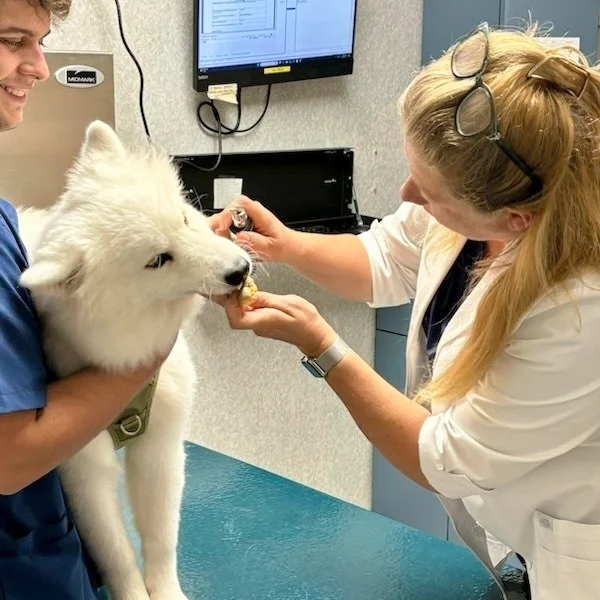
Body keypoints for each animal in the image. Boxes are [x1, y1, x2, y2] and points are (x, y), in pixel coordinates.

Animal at [16, 122, 251, 600]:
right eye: (158, 259)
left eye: (185, 220)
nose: (240, 271)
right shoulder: (82, 468)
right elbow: (116, 551)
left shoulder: (160, 444)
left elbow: (161, 538)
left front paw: (166, 592)